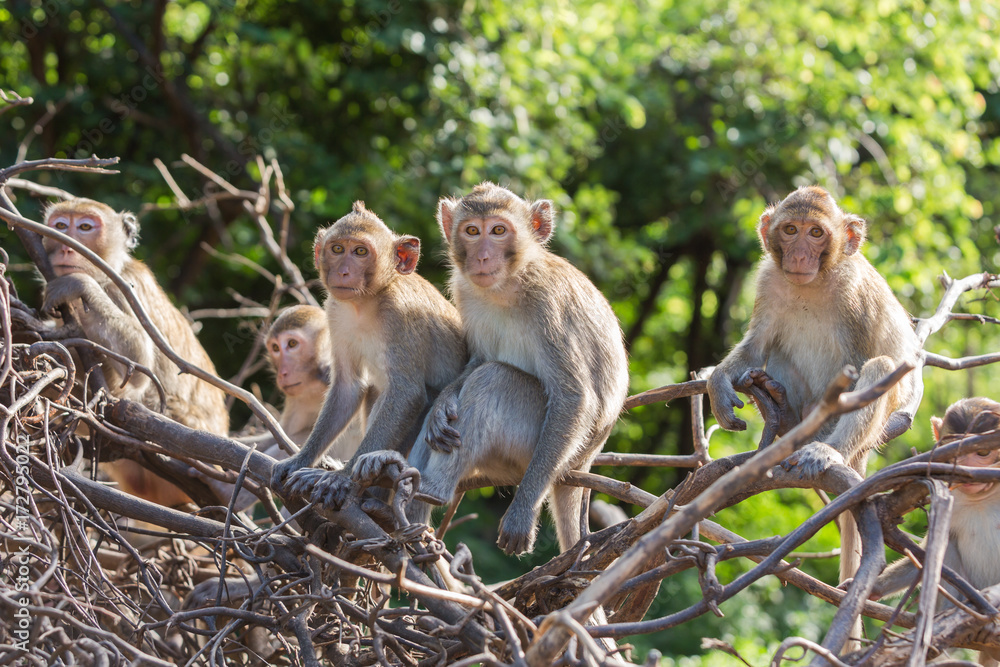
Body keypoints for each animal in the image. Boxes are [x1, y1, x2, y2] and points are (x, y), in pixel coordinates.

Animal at [41, 198, 229, 506]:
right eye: (60, 225)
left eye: (85, 227)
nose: (67, 246)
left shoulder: (125, 288)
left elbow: (140, 366)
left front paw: (79, 284)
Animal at [271, 201, 467, 502]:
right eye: (337, 249)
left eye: (360, 252)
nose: (343, 271)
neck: (364, 303)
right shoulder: (335, 311)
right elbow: (348, 388)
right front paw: (300, 460)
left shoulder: (400, 315)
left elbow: (407, 394)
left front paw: (341, 477)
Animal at [404, 183, 630, 557]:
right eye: (472, 231)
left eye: (498, 230)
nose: (482, 257)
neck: (508, 284)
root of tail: (584, 462)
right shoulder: (465, 292)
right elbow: (477, 360)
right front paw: (442, 404)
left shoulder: (549, 305)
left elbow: (574, 396)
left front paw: (522, 512)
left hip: (532, 451)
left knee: (494, 379)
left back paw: (430, 490)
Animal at [705, 186, 921, 594]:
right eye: (791, 229)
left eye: (816, 233)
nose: (800, 255)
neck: (817, 281)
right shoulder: (768, 281)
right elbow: (756, 347)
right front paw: (717, 385)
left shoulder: (856, 297)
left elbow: (861, 368)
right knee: (776, 351)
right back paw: (785, 413)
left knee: (880, 369)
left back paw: (826, 448)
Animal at [871, 397, 1000, 666]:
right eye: (953, 450)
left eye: (982, 452)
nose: (964, 470)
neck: (985, 497)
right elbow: (931, 550)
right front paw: (875, 587)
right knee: (947, 545)